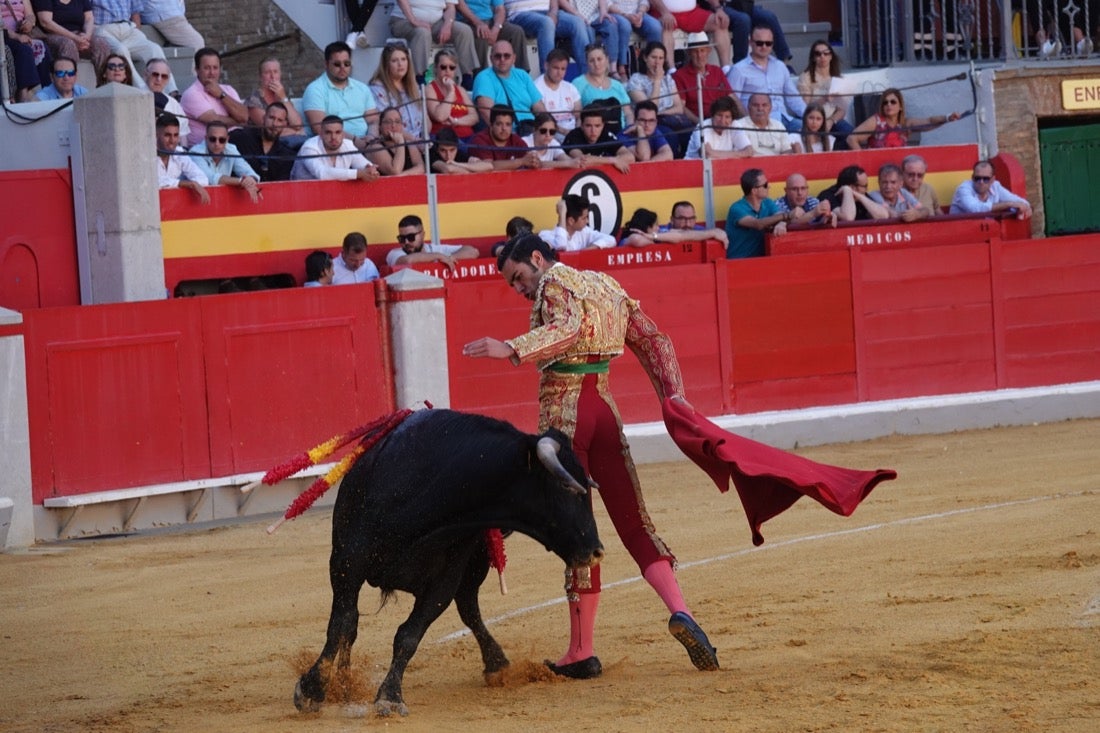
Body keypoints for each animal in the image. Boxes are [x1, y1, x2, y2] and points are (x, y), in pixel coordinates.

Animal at [294, 407, 602, 717]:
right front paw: (312, 690)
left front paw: (390, 696)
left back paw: (497, 664)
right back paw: (344, 683)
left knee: (469, 608)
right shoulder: (346, 562)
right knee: (354, 623)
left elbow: (409, 635)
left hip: (474, 568)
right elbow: (341, 624)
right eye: (566, 485)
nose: (596, 550)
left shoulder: (445, 580)